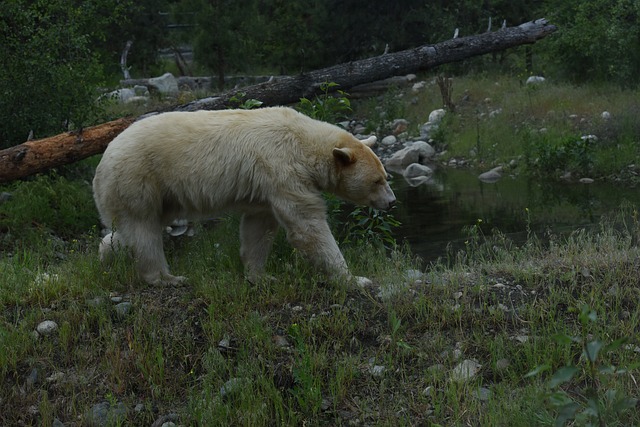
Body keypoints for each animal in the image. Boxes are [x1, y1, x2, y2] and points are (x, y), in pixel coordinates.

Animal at [94, 107, 396, 288]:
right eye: (377, 180)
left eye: (386, 176)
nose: (392, 202)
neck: (303, 141)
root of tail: (104, 158)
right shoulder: (282, 168)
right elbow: (306, 225)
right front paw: (355, 279)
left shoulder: (265, 186)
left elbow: (258, 227)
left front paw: (260, 276)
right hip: (139, 177)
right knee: (143, 229)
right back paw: (165, 277)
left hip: (159, 193)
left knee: (133, 229)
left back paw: (107, 253)